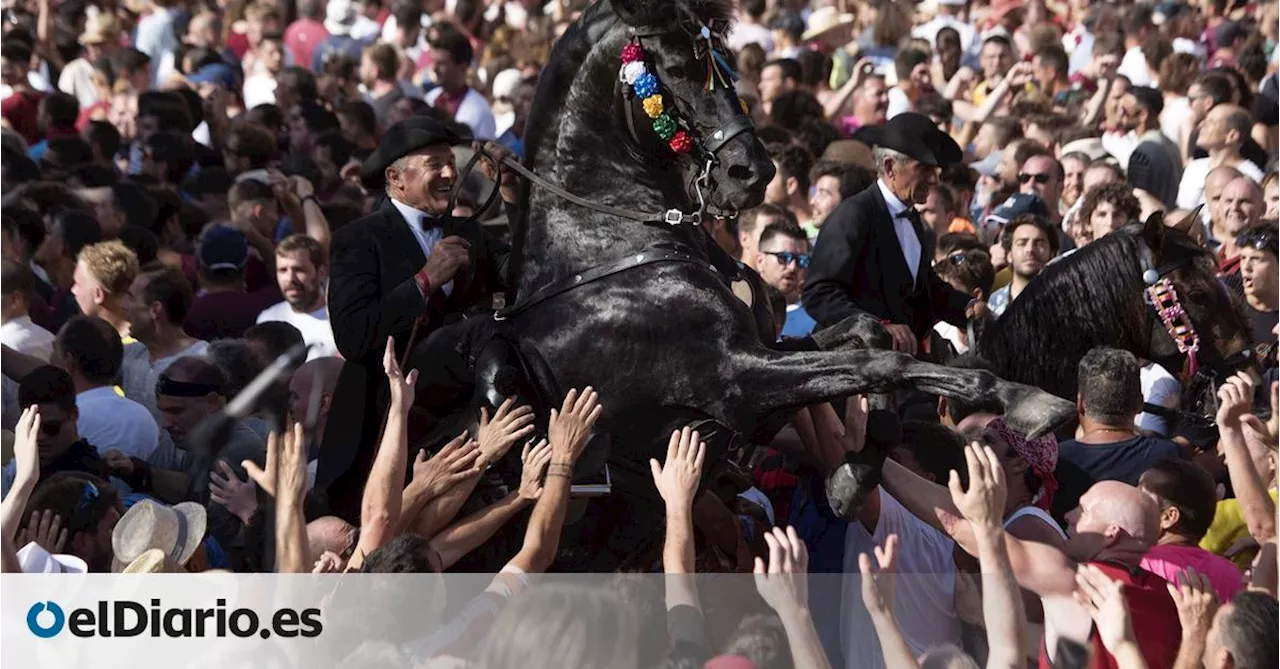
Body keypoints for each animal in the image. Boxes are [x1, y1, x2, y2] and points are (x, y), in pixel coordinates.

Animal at [445, 0, 1075, 570]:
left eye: (725, 65)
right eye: (676, 69)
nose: (751, 172)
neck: (605, 244)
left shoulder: (765, 350)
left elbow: (869, 338)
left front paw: (854, 469)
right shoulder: (734, 377)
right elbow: (881, 361)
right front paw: (1026, 399)